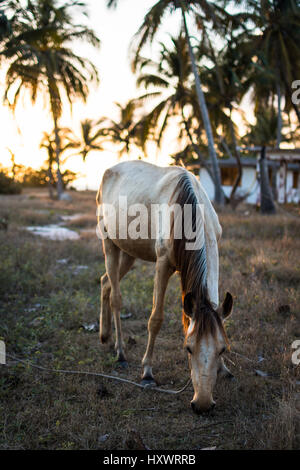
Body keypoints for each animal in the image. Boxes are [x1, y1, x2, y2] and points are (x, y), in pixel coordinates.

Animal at [97, 160, 233, 414]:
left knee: (105, 283)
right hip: (109, 244)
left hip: (129, 252)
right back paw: (120, 352)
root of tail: (109, 171)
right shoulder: (163, 264)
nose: (202, 404)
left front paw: (223, 369)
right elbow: (156, 319)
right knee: (116, 297)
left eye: (222, 349)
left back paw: (105, 335)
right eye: (188, 348)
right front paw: (147, 372)